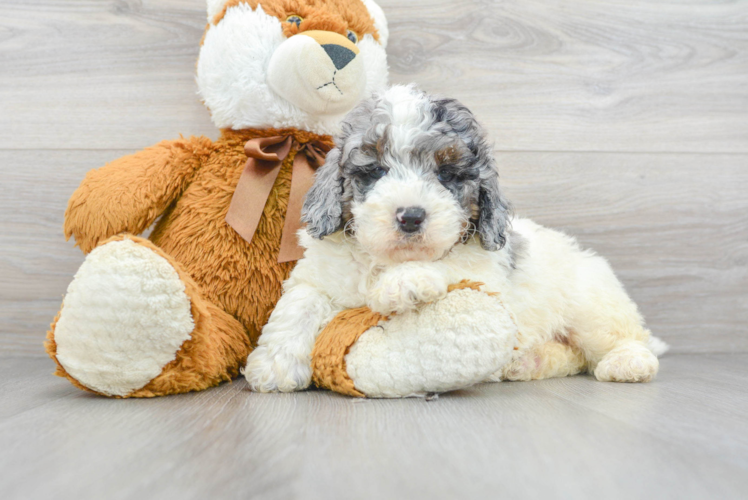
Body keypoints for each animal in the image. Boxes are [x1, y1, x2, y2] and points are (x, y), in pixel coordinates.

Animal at [244, 85, 668, 390]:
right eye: (376, 170)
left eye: (447, 175)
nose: (411, 216)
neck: (384, 259)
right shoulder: (317, 275)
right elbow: (298, 305)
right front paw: (274, 367)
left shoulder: (482, 272)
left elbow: (448, 266)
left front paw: (401, 283)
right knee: (574, 357)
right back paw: (525, 363)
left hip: (593, 308)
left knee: (623, 340)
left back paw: (627, 363)